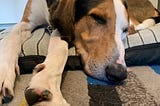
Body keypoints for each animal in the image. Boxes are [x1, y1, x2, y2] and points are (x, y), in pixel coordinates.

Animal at [0, 0, 159, 105]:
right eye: (97, 18)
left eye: (123, 30)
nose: (118, 73)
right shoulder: (26, 23)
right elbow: (11, 35)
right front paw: (4, 73)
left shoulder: (63, 29)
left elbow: (59, 49)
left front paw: (45, 82)